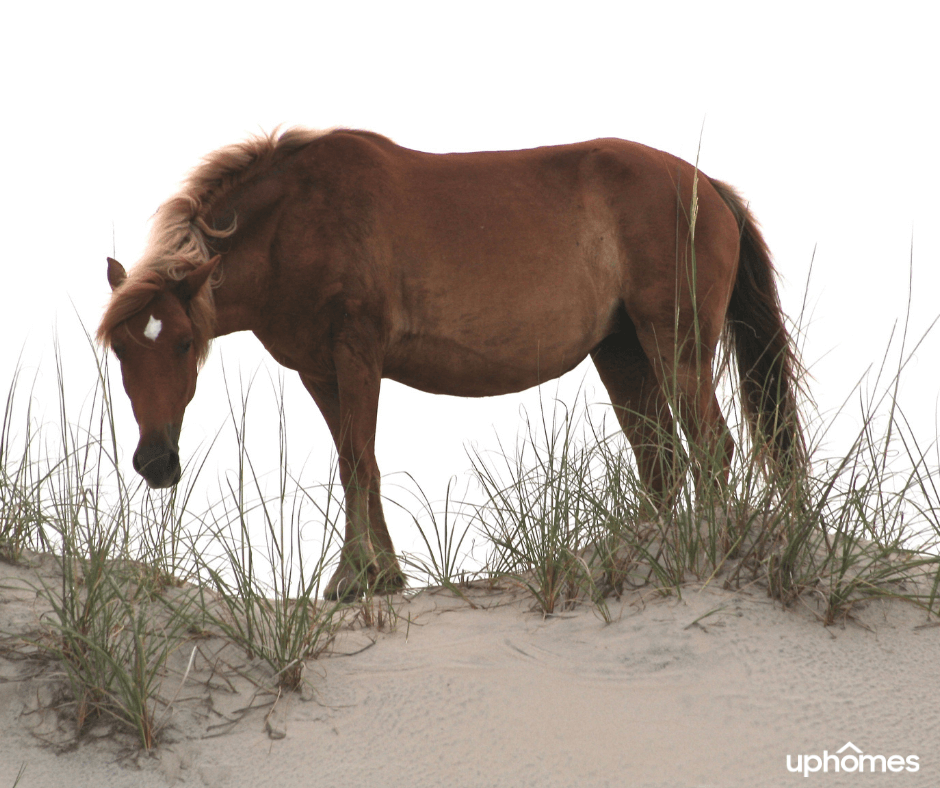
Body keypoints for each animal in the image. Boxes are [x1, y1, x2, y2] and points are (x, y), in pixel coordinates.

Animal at [97, 126, 808, 600]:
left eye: (183, 342)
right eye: (121, 348)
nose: (155, 462)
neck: (297, 219)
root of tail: (705, 186)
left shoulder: (356, 351)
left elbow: (359, 462)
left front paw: (362, 578)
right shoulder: (319, 371)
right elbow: (356, 463)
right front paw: (374, 574)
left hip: (676, 343)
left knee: (711, 446)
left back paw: (701, 552)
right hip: (623, 352)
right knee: (661, 462)